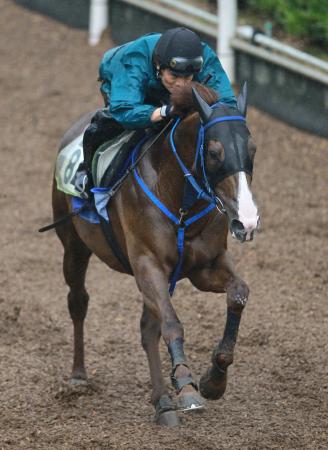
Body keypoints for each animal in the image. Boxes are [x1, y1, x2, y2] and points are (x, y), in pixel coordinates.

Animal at [52, 82, 260, 428]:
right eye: (214, 152)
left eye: (252, 149)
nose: (247, 220)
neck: (179, 198)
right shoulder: (147, 264)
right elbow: (172, 324)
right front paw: (187, 388)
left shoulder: (205, 266)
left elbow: (238, 293)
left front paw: (214, 380)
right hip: (74, 245)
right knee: (78, 302)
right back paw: (79, 376)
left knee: (148, 329)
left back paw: (162, 402)